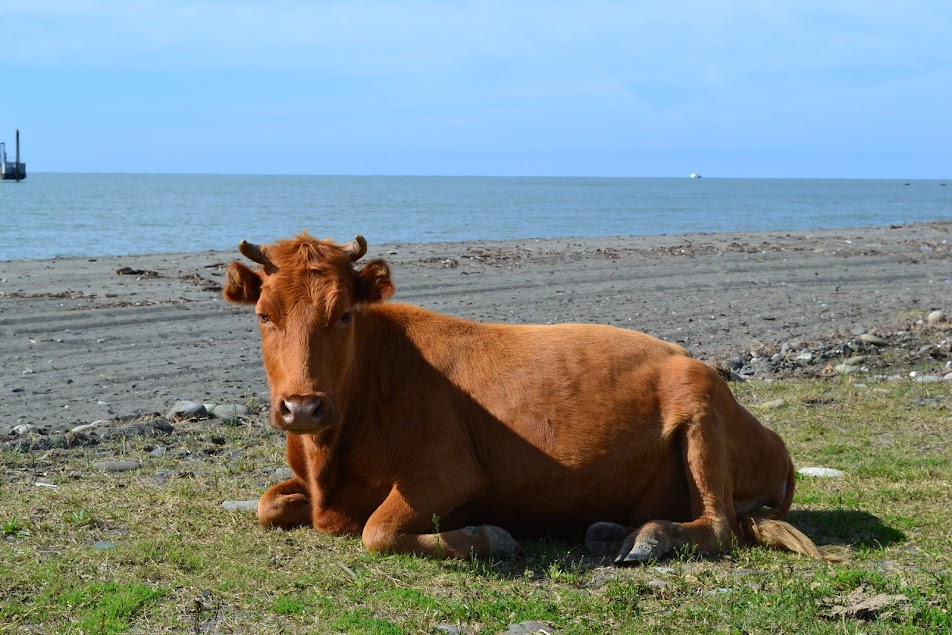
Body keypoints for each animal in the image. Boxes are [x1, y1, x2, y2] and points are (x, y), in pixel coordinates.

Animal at [223, 236, 840, 564]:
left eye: (345, 314)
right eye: (264, 315)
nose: (303, 408)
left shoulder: (449, 471)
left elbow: (377, 531)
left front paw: (490, 536)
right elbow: (266, 504)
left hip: (701, 406)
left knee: (716, 525)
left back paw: (647, 537)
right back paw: (608, 530)